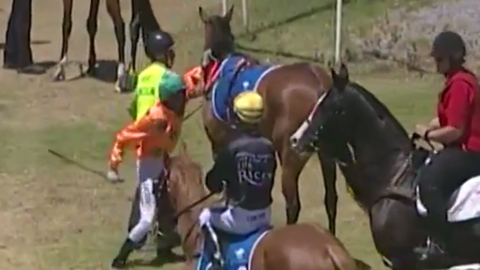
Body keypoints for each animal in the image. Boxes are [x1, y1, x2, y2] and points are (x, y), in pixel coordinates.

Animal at [194, 5, 356, 231]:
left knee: (293, 204)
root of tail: (319, 82)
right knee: (331, 199)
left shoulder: (219, 143)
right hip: (326, 156)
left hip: (291, 156)